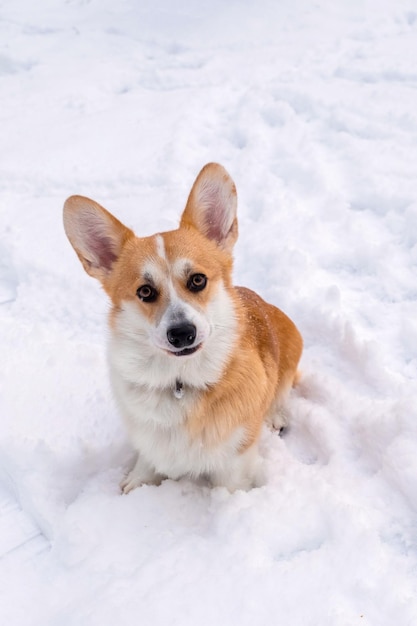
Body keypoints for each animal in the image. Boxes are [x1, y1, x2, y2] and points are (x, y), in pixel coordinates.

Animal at [62, 162, 302, 492]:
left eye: (197, 280)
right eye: (145, 291)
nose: (181, 334)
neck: (180, 382)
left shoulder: (235, 460)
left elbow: (230, 486)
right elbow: (147, 461)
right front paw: (137, 484)